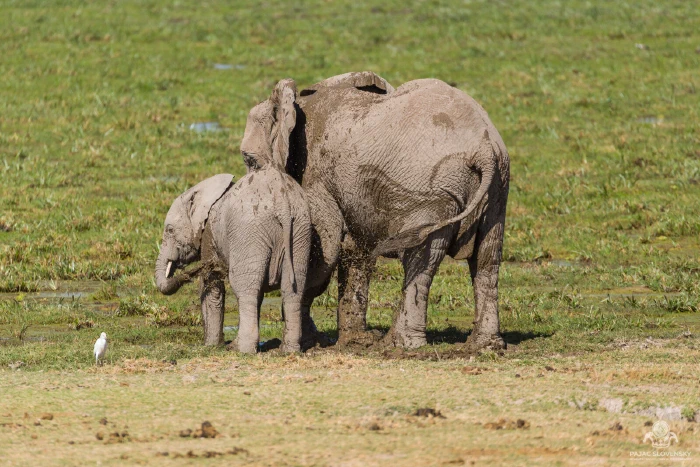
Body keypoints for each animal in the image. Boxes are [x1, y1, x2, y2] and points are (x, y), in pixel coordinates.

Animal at [154, 169, 313, 353]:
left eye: (170, 230)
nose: (187, 275)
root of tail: (282, 202)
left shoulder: (209, 233)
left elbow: (211, 284)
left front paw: (211, 346)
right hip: (300, 228)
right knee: (293, 289)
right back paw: (289, 351)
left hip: (250, 231)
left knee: (244, 289)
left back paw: (243, 350)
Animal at [240, 72, 510, 351]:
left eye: (249, 160)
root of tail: (484, 149)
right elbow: (354, 250)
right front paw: (353, 341)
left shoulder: (315, 174)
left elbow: (323, 248)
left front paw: (309, 341)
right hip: (496, 189)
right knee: (487, 257)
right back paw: (485, 345)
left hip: (431, 192)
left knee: (422, 258)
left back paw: (400, 345)